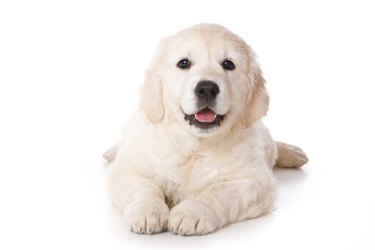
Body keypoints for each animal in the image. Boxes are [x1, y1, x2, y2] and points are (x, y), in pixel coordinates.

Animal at [105, 23, 308, 234]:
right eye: (183, 63)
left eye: (228, 64)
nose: (207, 88)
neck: (195, 145)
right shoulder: (128, 170)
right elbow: (144, 186)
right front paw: (148, 211)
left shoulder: (254, 181)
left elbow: (217, 191)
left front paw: (192, 212)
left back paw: (293, 153)